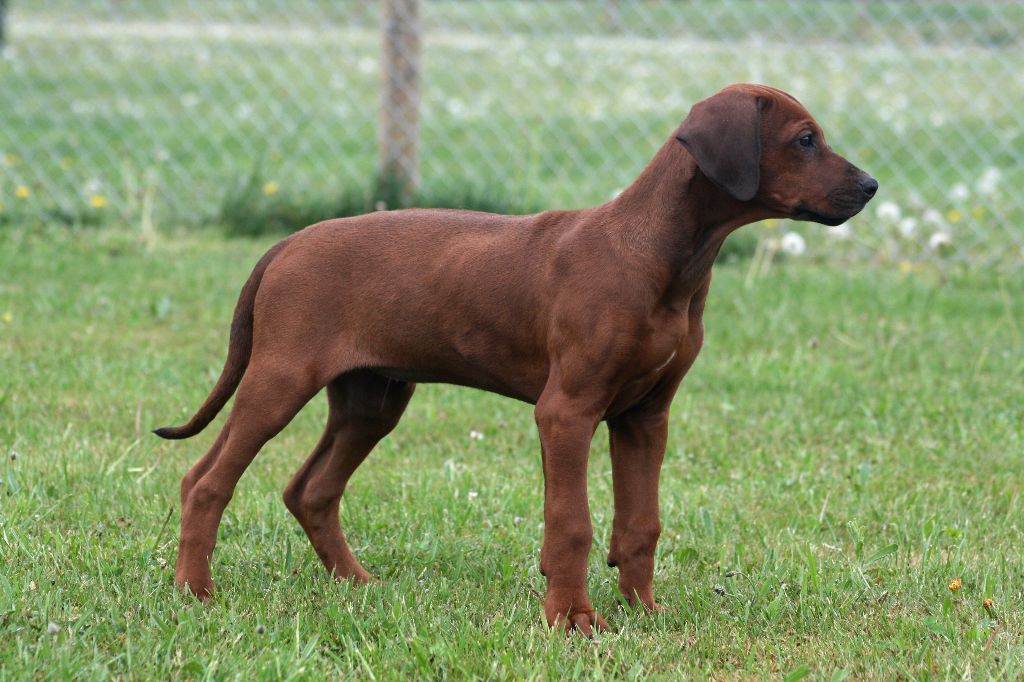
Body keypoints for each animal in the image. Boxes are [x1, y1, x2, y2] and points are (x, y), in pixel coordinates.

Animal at [155, 83, 876, 635]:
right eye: (804, 140)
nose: (871, 186)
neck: (662, 255)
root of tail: (286, 244)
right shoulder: (567, 411)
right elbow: (572, 522)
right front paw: (573, 620)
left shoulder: (646, 415)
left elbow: (641, 523)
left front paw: (644, 611)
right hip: (280, 379)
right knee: (206, 481)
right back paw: (195, 592)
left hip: (372, 399)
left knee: (310, 490)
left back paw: (358, 584)